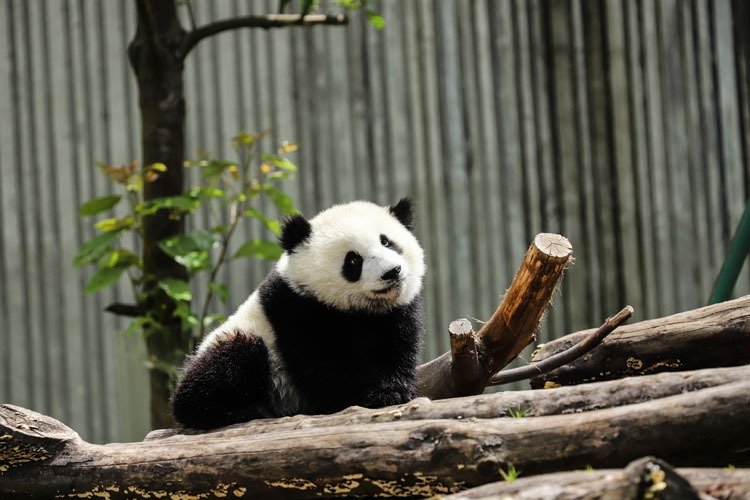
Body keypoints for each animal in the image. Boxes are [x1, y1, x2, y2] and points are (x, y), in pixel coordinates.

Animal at [171, 198, 426, 429]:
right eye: (353, 260)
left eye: (387, 242)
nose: (392, 272)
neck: (358, 309)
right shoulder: (295, 309)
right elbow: (323, 366)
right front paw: (372, 394)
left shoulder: (394, 314)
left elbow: (394, 349)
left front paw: (394, 389)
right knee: (229, 360)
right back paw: (232, 410)